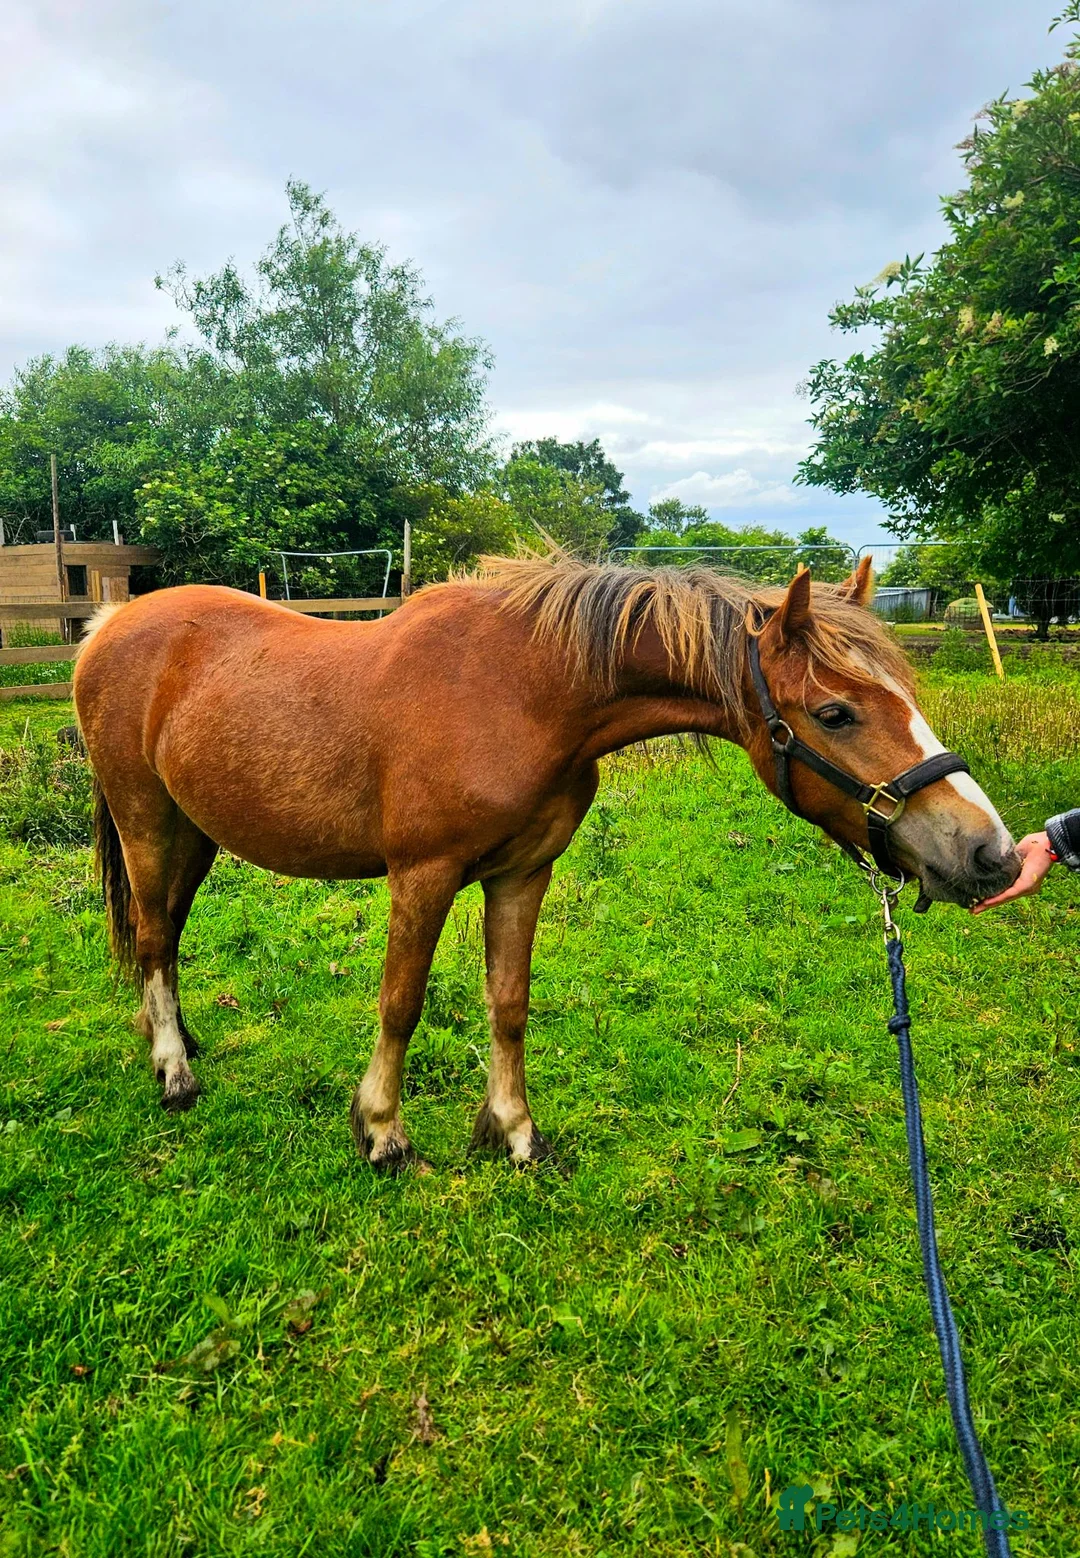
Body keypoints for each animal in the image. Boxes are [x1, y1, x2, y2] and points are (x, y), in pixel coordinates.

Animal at [73, 555, 1019, 1168]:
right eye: (834, 713)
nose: (991, 854)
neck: (525, 691)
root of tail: (111, 624)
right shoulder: (423, 875)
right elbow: (401, 1004)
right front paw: (382, 1131)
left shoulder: (522, 874)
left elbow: (510, 1004)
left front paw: (515, 1133)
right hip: (146, 820)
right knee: (152, 938)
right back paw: (176, 1072)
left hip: (194, 833)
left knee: (168, 939)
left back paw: (174, 1039)